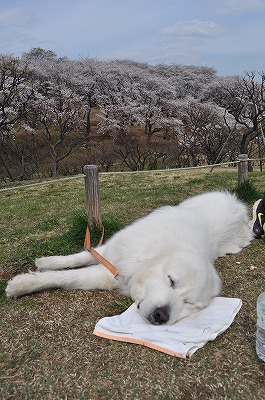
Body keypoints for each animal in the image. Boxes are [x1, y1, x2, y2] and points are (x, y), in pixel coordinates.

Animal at [4, 191, 252, 324]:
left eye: (189, 303)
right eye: (171, 280)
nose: (161, 315)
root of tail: (239, 208)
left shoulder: (109, 274)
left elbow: (68, 277)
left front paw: (23, 283)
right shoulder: (113, 250)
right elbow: (81, 256)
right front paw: (45, 263)